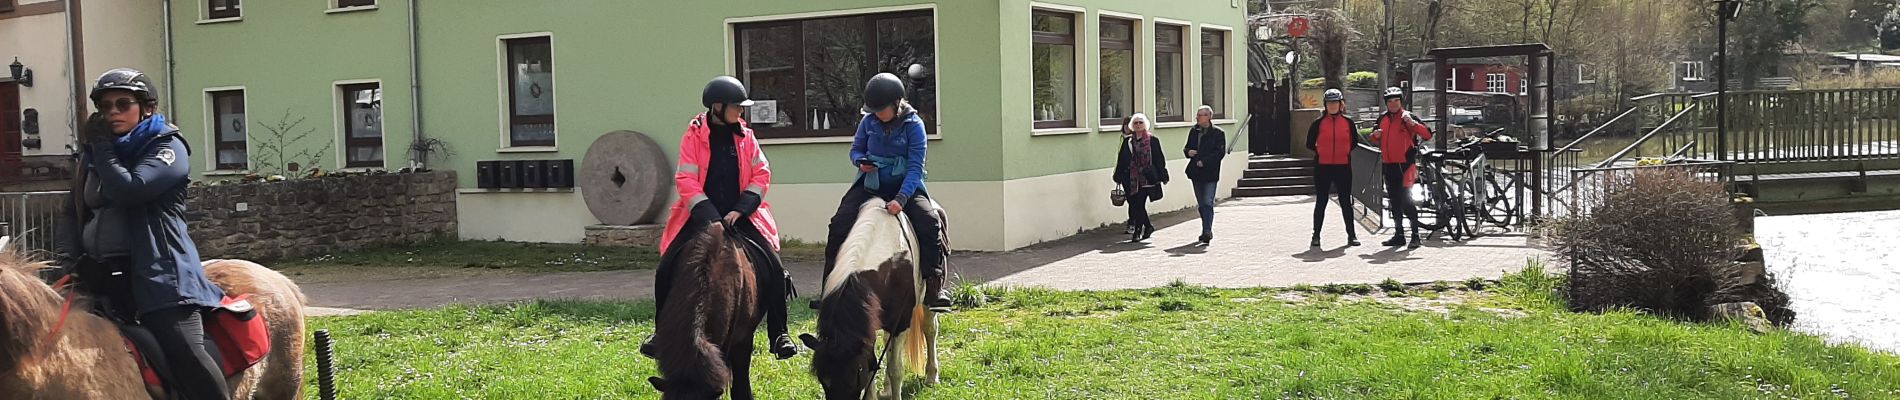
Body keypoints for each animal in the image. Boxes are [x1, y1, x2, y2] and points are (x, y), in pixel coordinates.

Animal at [798, 199, 946, 400]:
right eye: (823, 380)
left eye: (854, 375)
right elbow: (874, 364)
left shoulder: (901, 323)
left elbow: (895, 369)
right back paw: (887, 388)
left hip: (927, 304)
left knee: (930, 330)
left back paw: (931, 376)